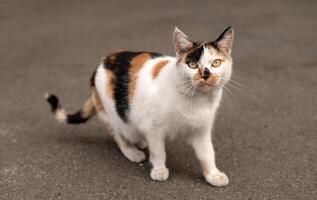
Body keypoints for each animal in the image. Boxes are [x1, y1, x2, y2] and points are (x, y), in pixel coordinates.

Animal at [45, 25, 232, 187]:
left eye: (216, 63)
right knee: (118, 135)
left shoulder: (202, 130)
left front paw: (213, 175)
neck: (196, 99)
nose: (205, 74)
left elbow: (207, 154)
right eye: (192, 65)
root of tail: (100, 64)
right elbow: (158, 151)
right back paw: (133, 152)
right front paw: (159, 170)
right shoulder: (154, 128)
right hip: (114, 115)